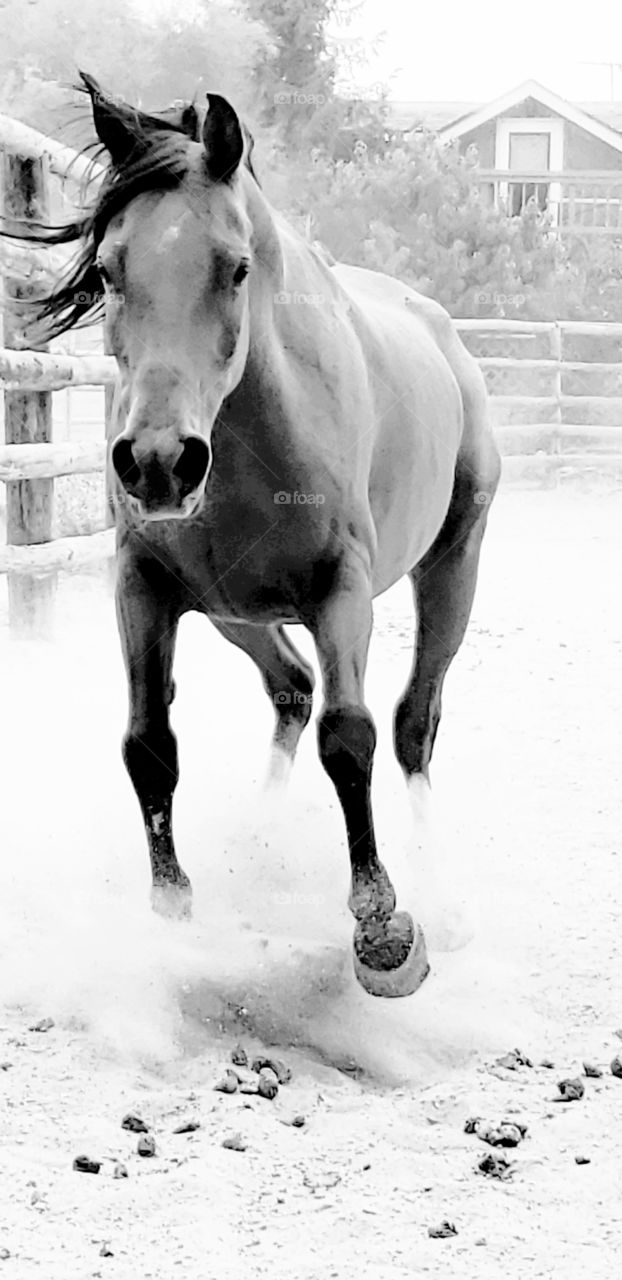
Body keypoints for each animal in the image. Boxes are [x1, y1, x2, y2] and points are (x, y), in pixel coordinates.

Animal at [14, 74, 501, 998]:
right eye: (109, 269)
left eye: (235, 267)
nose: (159, 463)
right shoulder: (143, 587)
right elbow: (148, 744)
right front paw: (173, 909)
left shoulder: (341, 590)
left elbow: (351, 739)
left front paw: (383, 929)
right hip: (235, 613)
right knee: (292, 690)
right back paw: (261, 841)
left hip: (452, 565)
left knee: (412, 724)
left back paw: (437, 879)